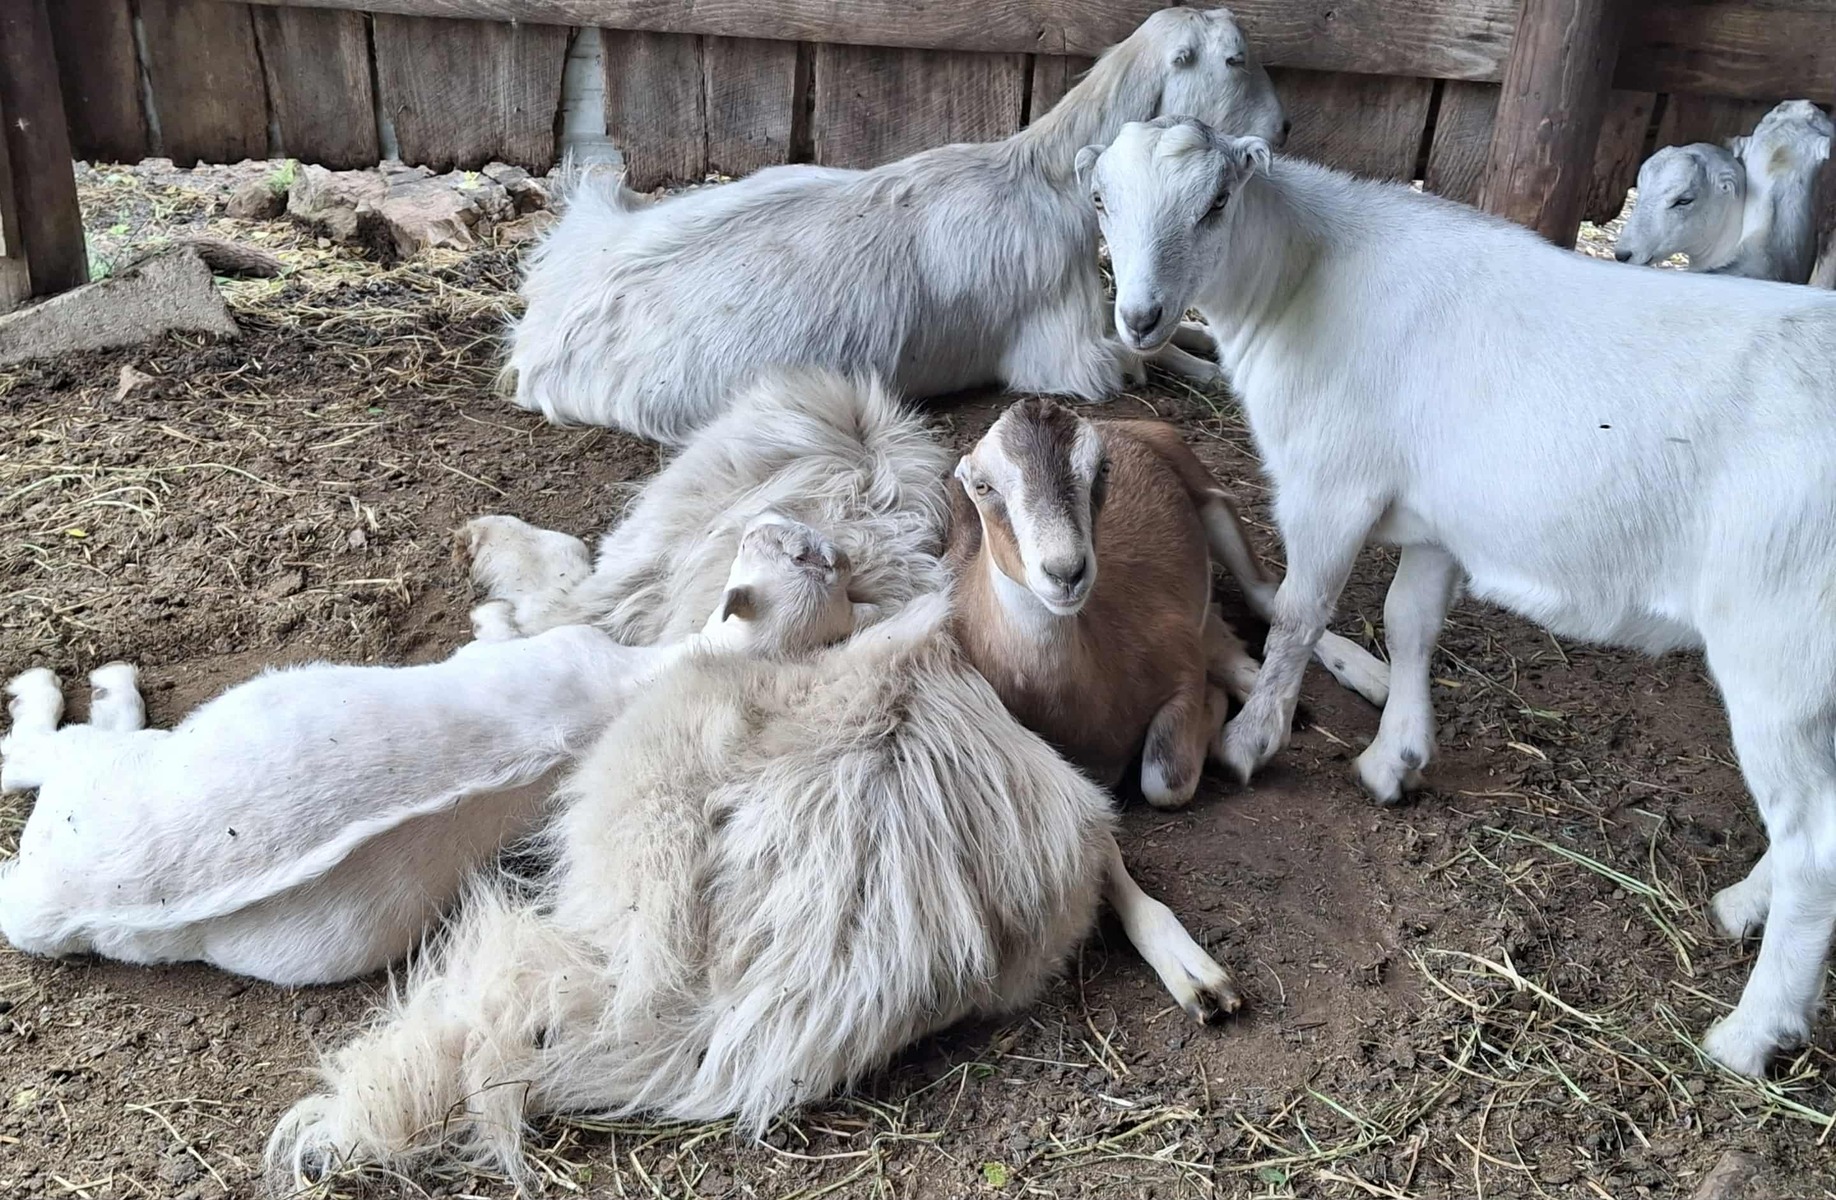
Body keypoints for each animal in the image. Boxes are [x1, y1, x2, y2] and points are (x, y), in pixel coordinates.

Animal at [504, 6, 1286, 445]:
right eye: (1236, 58)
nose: (1283, 128)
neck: (1040, 176)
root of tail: (539, 338)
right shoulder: (1066, 358)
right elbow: (1134, 357)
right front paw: (1207, 368)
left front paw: (1208, 347)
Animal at [947, 397, 1389, 808]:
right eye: (983, 486)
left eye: (1102, 469)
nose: (1066, 573)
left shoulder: (1182, 665)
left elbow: (1164, 781)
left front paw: (1215, 703)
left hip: (1211, 498)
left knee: (1266, 595)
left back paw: (1371, 676)